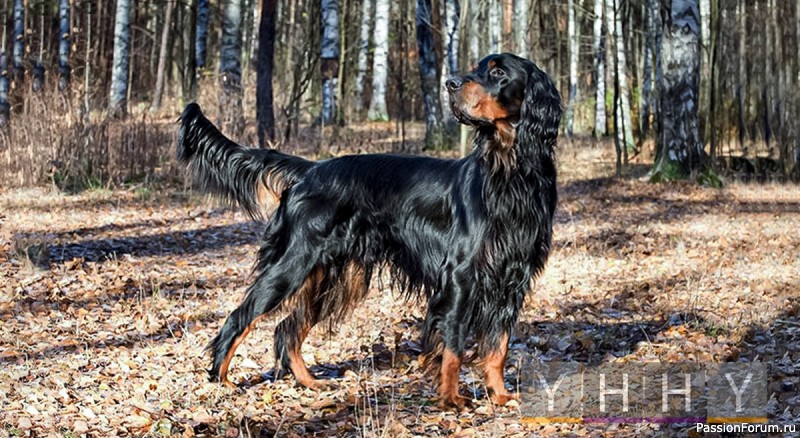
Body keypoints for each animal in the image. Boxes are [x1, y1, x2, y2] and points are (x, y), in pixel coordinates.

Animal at [177, 53, 560, 408]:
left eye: (498, 72)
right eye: (479, 68)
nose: (450, 83)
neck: (511, 172)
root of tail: (310, 170)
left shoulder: (512, 277)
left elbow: (499, 346)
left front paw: (500, 395)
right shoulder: (461, 275)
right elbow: (453, 345)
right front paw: (451, 398)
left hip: (332, 275)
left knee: (287, 329)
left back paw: (310, 382)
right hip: (295, 263)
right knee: (241, 316)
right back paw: (221, 380)